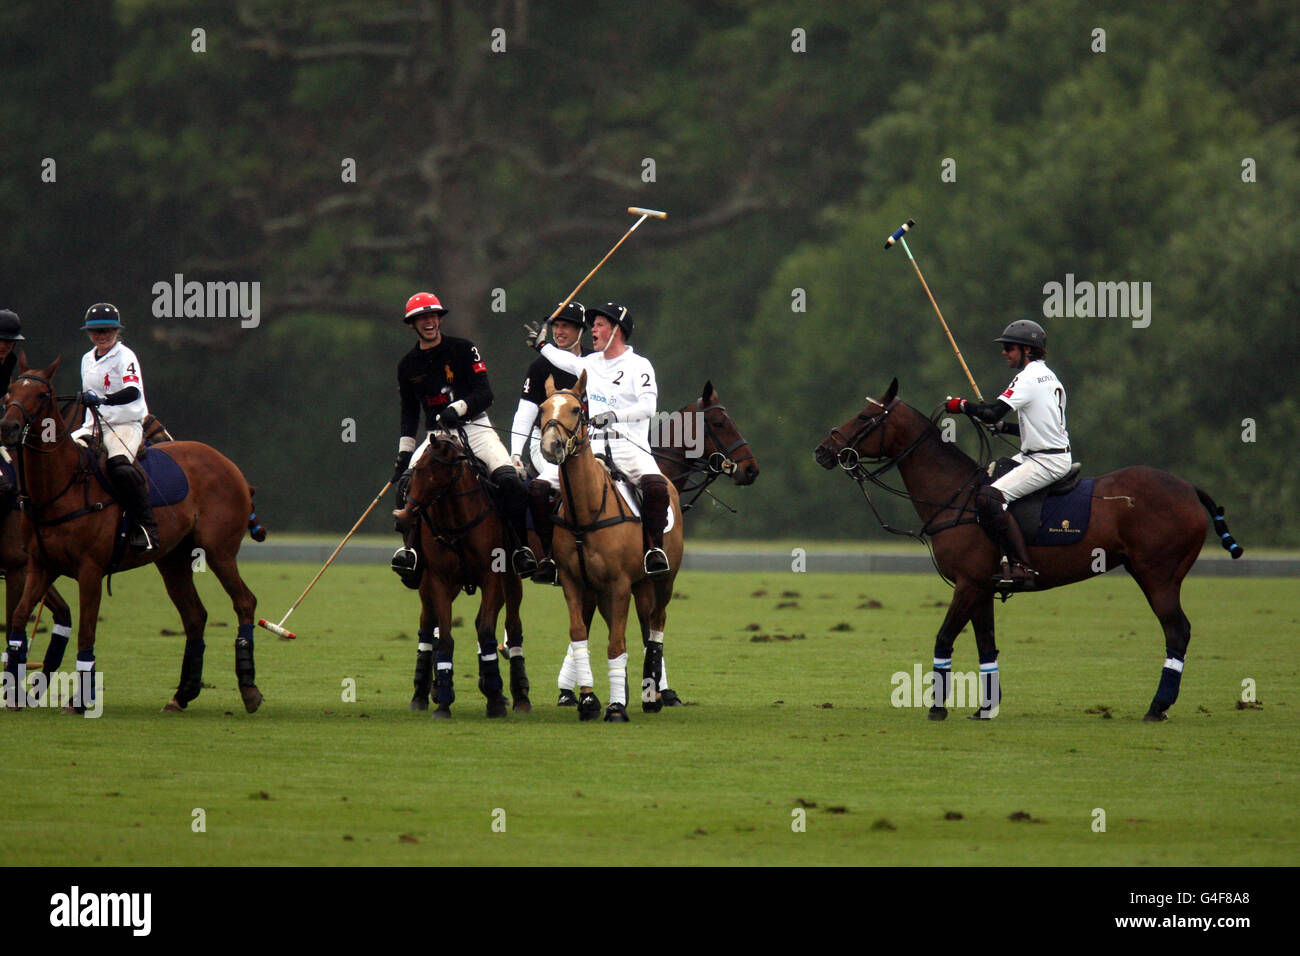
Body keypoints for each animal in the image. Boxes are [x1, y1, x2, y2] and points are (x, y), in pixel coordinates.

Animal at [0, 358, 266, 717]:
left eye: (42, 394)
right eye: (11, 390)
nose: (9, 426)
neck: (61, 486)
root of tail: (232, 468)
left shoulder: (89, 569)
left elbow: (86, 630)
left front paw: (79, 700)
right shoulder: (40, 566)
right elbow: (18, 618)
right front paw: (15, 693)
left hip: (219, 551)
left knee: (244, 602)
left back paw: (249, 689)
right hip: (173, 559)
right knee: (195, 616)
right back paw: (182, 694)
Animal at [390, 434, 527, 717]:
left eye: (438, 474)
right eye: (416, 470)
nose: (403, 518)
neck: (456, 520)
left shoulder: (491, 575)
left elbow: (486, 631)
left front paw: (495, 699)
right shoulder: (439, 579)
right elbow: (444, 637)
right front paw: (443, 701)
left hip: (510, 580)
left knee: (511, 625)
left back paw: (520, 697)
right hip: (430, 587)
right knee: (427, 626)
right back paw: (421, 695)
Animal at [535, 369, 686, 723]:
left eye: (576, 409)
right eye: (543, 408)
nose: (551, 446)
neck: (585, 511)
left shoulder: (618, 585)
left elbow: (616, 644)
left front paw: (616, 707)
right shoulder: (575, 583)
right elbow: (579, 634)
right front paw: (589, 700)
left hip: (663, 580)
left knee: (656, 625)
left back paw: (651, 694)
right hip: (631, 586)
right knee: (644, 626)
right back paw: (646, 691)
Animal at [816, 377, 1242, 723]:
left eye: (864, 416)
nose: (822, 451)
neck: (955, 494)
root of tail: (1190, 489)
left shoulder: (968, 583)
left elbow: (944, 638)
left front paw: (937, 708)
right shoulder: (982, 586)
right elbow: (986, 646)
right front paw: (986, 708)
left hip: (1158, 574)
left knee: (1177, 630)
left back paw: (1157, 706)